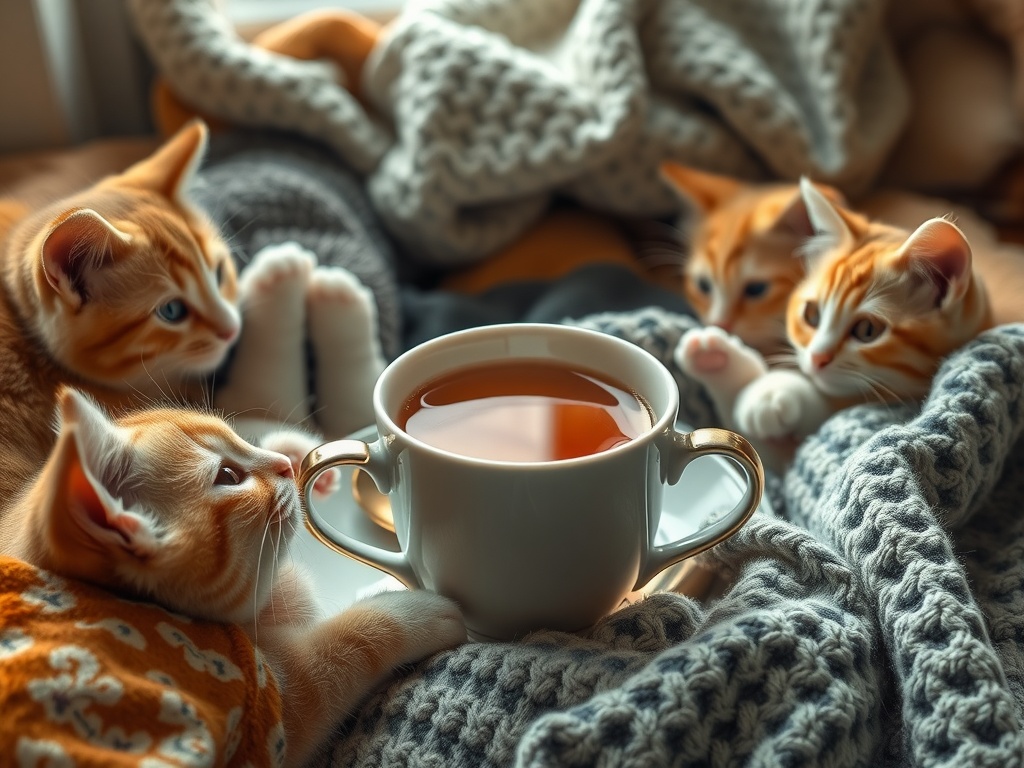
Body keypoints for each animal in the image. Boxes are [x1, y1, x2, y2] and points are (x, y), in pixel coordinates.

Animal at [2, 387, 466, 765]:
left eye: (239, 438)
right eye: (227, 476)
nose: (284, 466)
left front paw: (294, 451)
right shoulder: (274, 703)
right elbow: (345, 649)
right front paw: (414, 609)